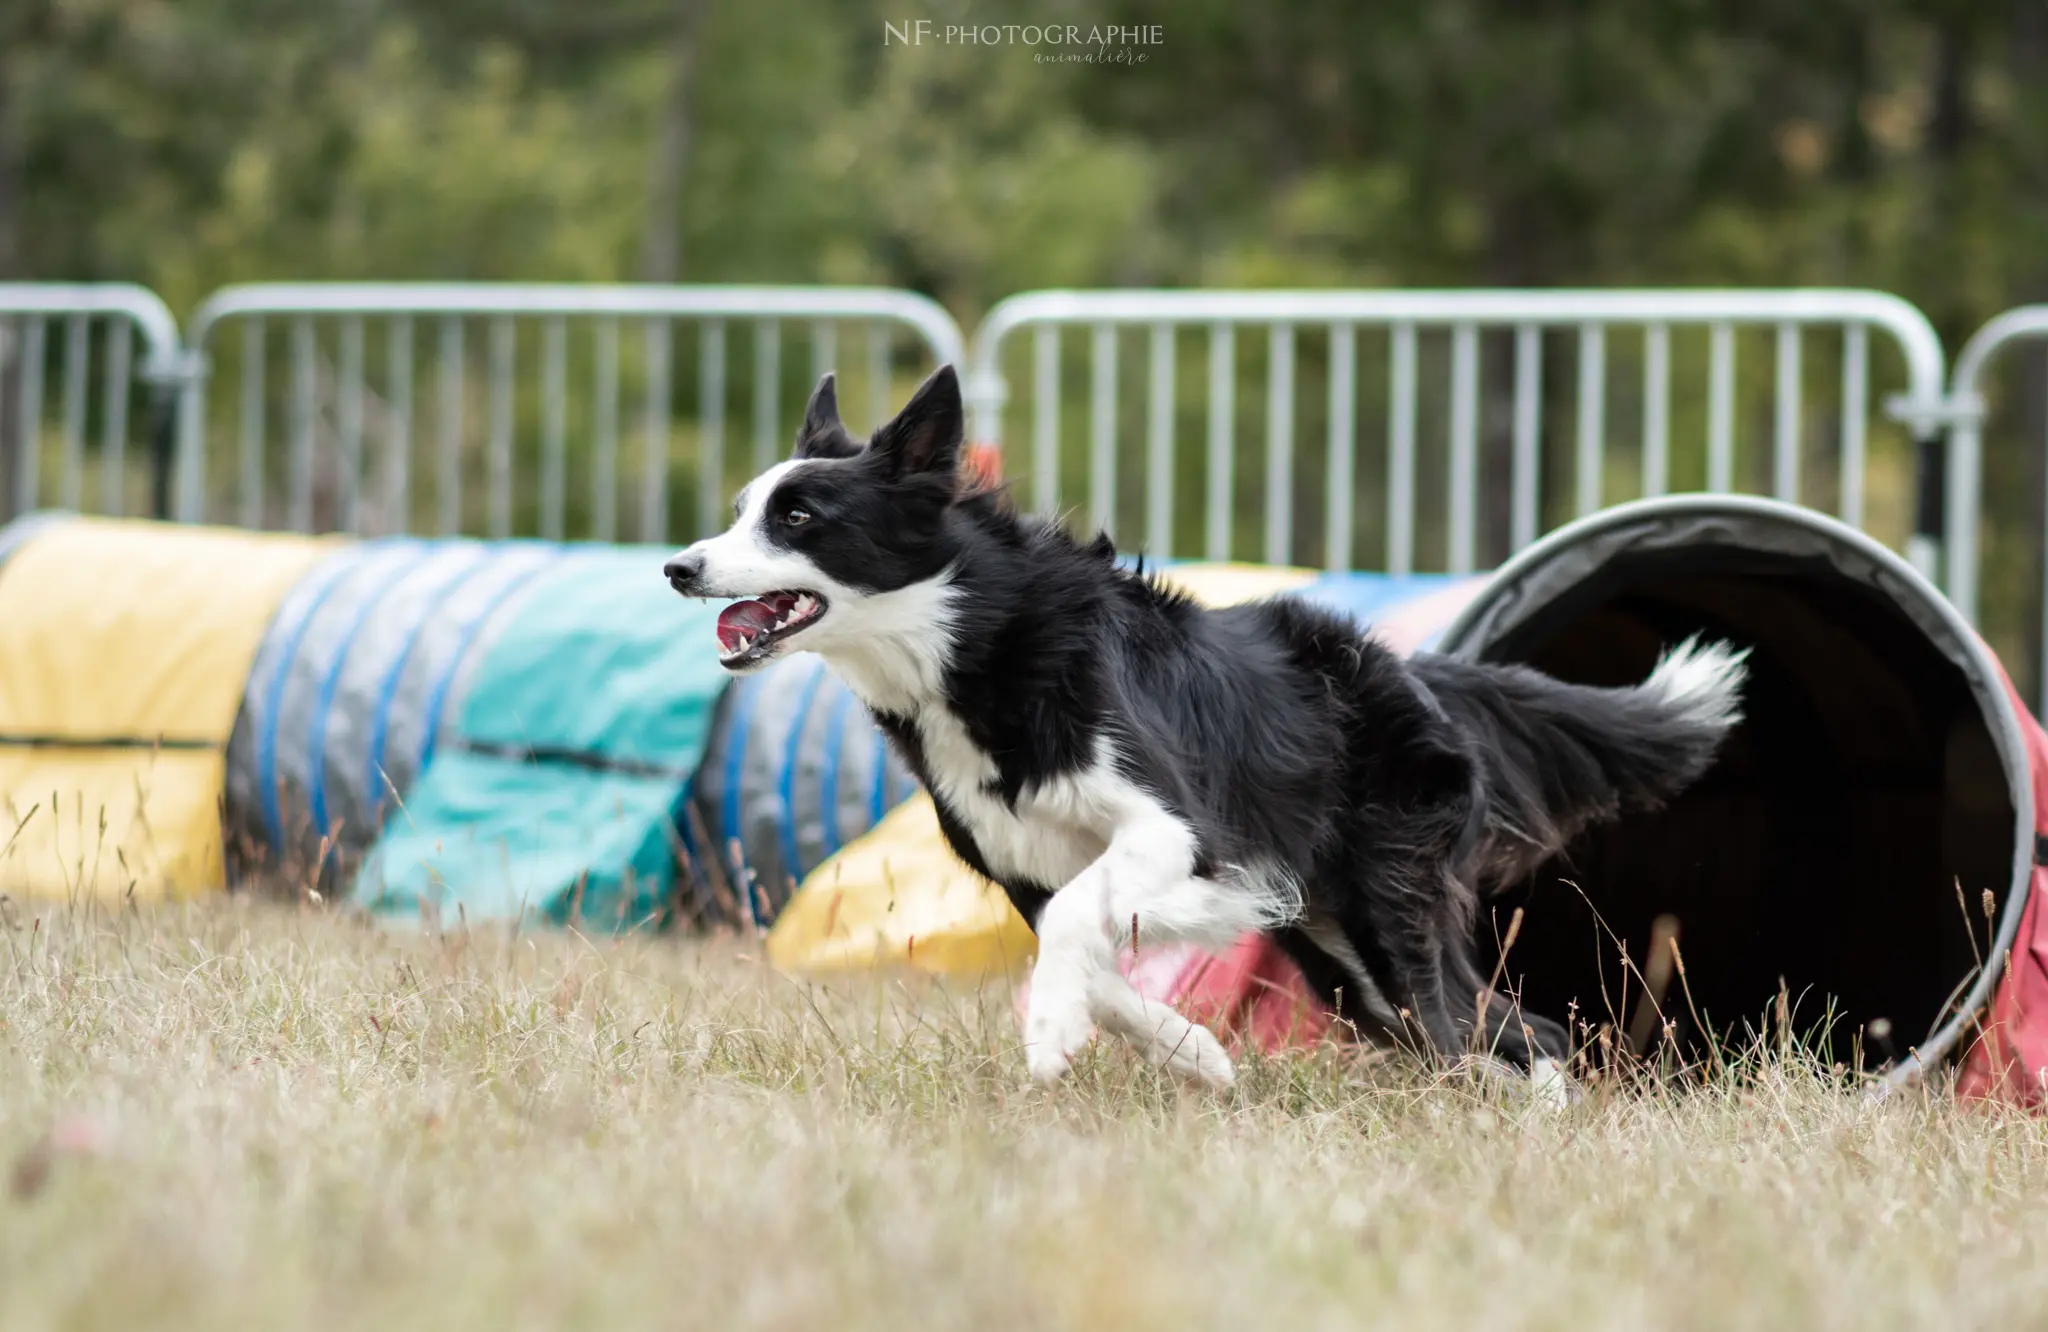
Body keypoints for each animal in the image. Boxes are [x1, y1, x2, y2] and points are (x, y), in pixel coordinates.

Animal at [667, 364, 1744, 1090]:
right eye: (740, 511)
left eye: (799, 517)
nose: (679, 566)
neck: (968, 645)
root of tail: (1419, 670)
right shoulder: (1027, 869)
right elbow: (1088, 951)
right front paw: (1192, 1053)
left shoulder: (1177, 827)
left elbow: (1083, 921)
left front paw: (1051, 1035)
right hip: (1340, 957)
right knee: (1482, 1031)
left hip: (1389, 911)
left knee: (1499, 1027)